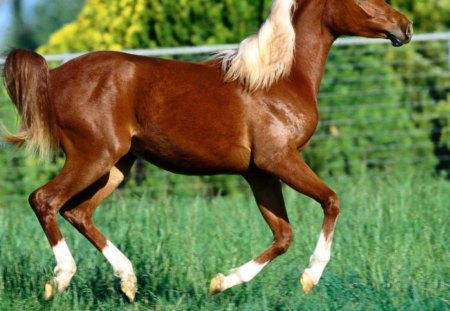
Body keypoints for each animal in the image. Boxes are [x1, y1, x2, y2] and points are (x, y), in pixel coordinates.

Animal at [3, 0, 412, 304]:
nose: (404, 26)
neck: (277, 78)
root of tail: (54, 76)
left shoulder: (259, 173)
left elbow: (283, 236)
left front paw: (220, 282)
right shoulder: (279, 160)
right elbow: (331, 201)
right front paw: (309, 277)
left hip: (117, 165)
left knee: (78, 212)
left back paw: (128, 281)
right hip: (94, 157)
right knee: (45, 200)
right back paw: (60, 280)